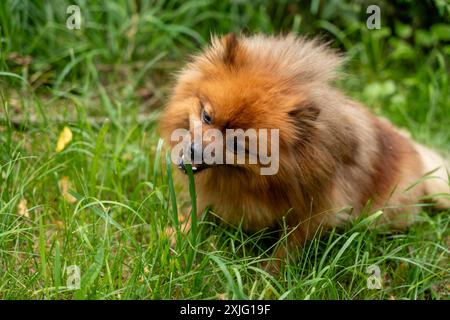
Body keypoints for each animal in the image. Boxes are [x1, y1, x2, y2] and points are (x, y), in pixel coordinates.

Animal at [160, 33, 448, 266]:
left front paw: (271, 278)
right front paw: (175, 234)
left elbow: (285, 250)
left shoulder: (310, 213)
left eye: (236, 144)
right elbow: (196, 211)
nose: (195, 151)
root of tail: (416, 151)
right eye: (207, 116)